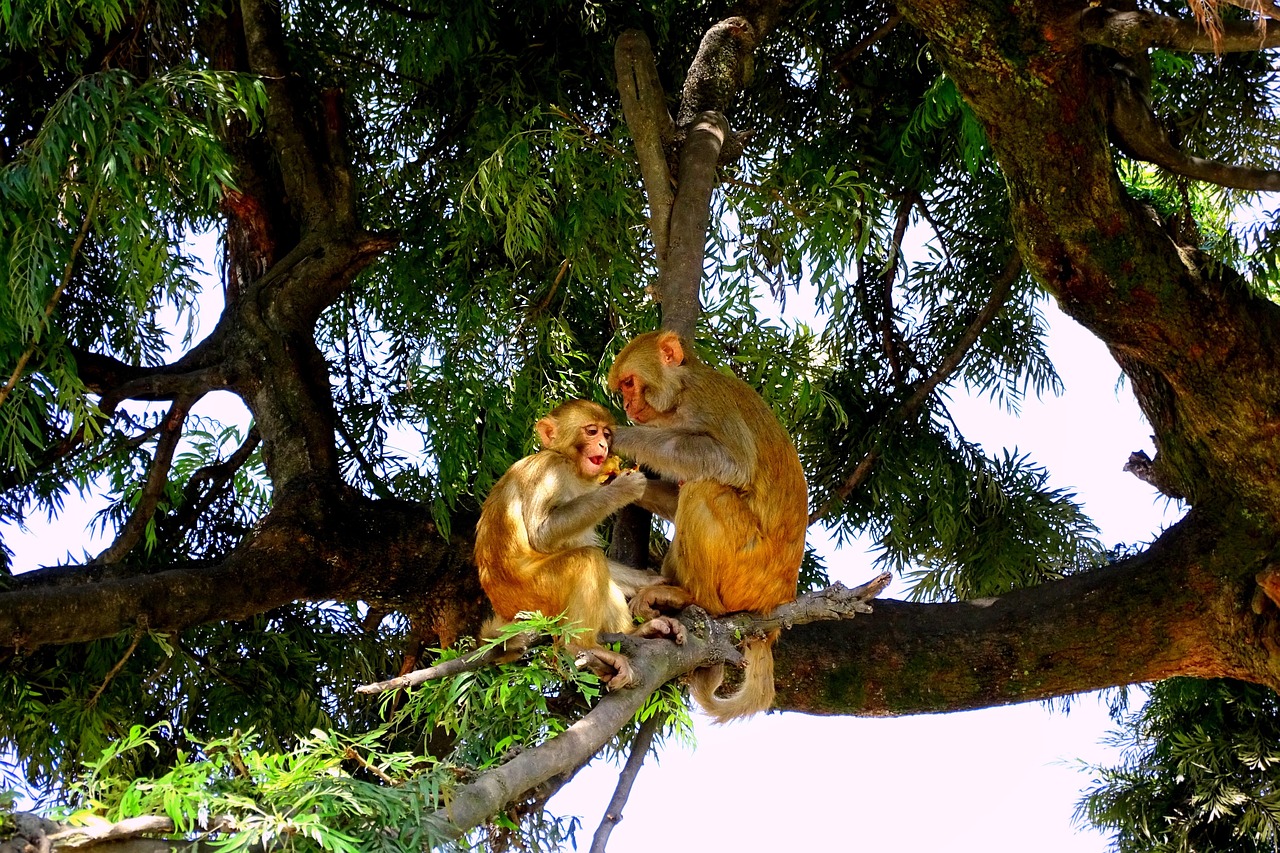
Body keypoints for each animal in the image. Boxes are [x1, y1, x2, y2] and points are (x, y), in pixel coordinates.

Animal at [473, 399, 683, 689]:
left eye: (607, 434)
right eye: (591, 432)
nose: (604, 446)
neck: (571, 464)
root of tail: (505, 610)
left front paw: (653, 583)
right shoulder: (550, 470)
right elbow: (542, 534)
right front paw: (621, 489)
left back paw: (636, 632)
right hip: (534, 596)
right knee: (586, 560)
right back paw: (580, 647)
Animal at [606, 330, 808, 722]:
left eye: (629, 383)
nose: (626, 404)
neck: (682, 390)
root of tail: (779, 598)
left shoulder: (705, 402)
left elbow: (731, 463)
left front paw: (619, 437)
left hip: (746, 570)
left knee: (704, 489)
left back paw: (691, 597)